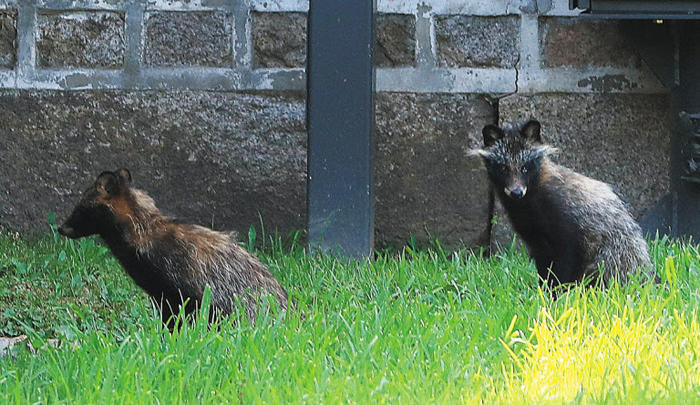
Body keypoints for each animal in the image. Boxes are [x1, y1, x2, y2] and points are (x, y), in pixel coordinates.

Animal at [474, 118, 652, 288]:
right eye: (503, 168)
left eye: (525, 167)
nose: (516, 192)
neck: (530, 204)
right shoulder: (537, 241)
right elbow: (544, 271)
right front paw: (544, 291)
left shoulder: (569, 234)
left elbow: (563, 269)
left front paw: (556, 293)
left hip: (613, 255)